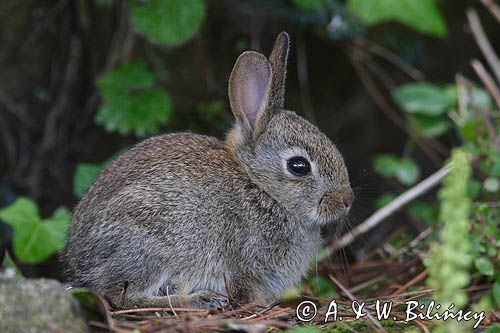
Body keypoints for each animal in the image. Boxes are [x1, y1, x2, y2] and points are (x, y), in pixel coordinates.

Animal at [62, 31, 352, 308]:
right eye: (298, 166)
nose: (346, 201)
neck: (262, 188)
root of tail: (79, 263)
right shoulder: (246, 265)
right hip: (148, 245)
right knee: (123, 295)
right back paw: (198, 300)